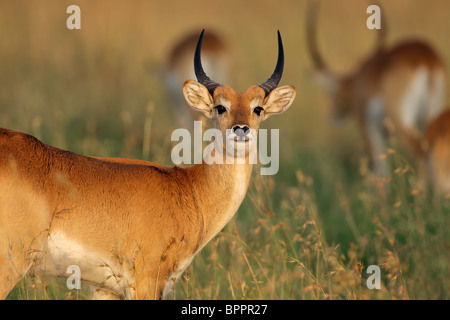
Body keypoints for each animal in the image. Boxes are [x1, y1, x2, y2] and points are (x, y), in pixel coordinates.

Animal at [0, 30, 296, 300]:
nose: (241, 129)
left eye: (258, 109)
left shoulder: (106, 289)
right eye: (220, 107)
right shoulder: (147, 282)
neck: (191, 189)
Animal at [306, 0, 446, 178]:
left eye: (331, 95)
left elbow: (380, 168)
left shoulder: (368, 127)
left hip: (402, 120)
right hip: (432, 115)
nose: (333, 117)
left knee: (419, 154)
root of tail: (425, 59)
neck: (359, 81)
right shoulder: (385, 133)